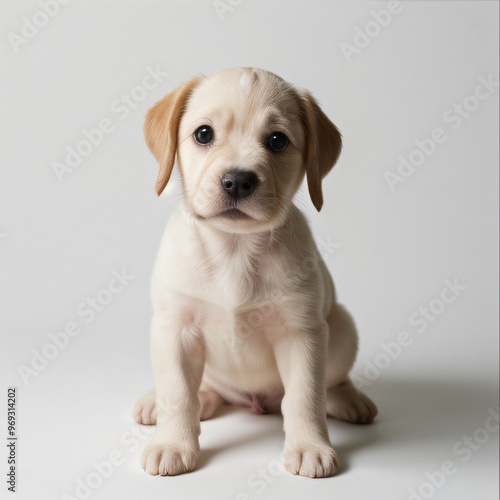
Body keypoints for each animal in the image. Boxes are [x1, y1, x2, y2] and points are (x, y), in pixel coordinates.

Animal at [133, 66, 376, 476]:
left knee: (330, 382)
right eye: (203, 134)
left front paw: (310, 446)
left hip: (342, 327)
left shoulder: (301, 333)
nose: (237, 180)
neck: (234, 249)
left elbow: (304, 397)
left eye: (277, 140)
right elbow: (178, 394)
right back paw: (183, 400)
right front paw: (172, 444)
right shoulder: (175, 327)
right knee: (199, 390)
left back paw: (348, 399)